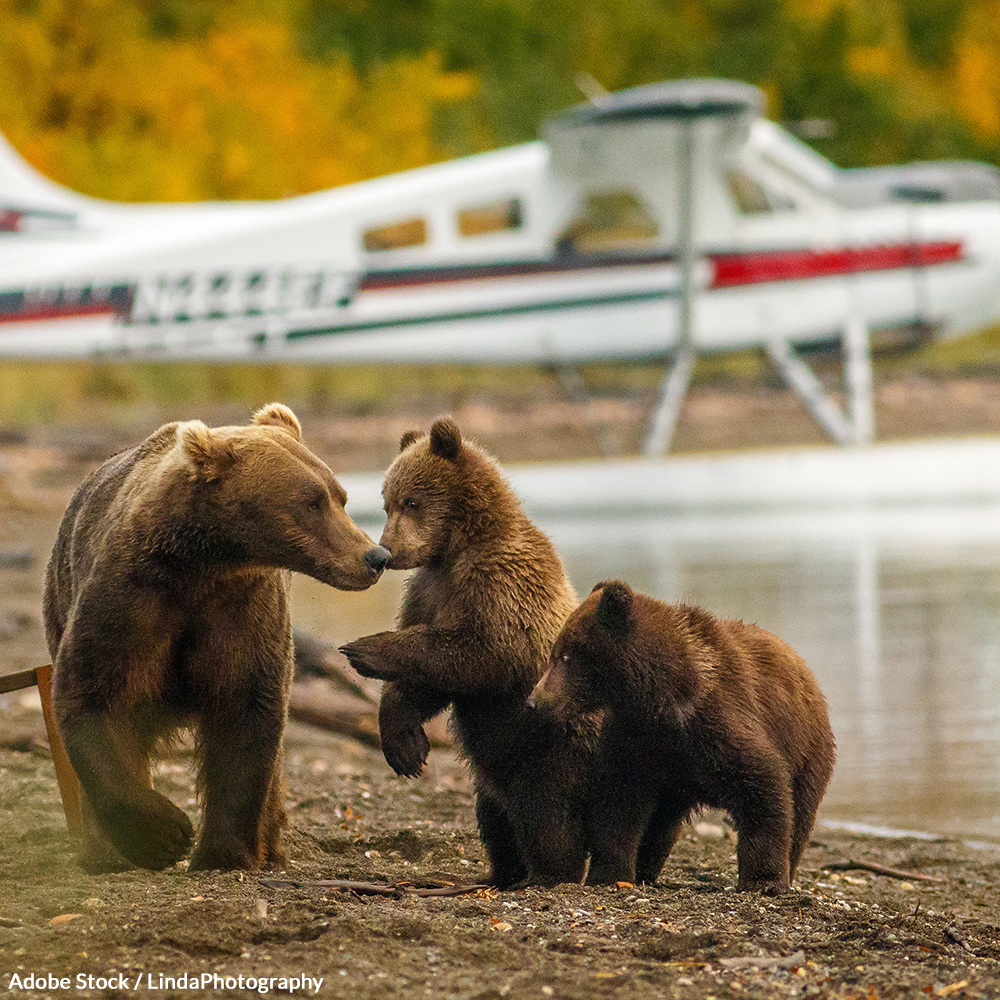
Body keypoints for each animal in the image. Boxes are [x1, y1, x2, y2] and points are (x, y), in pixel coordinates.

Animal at [44, 402, 386, 872]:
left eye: (340, 496)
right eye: (312, 501)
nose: (376, 556)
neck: (204, 564)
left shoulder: (242, 610)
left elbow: (245, 711)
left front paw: (223, 853)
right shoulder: (129, 599)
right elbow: (92, 695)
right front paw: (163, 833)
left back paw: (271, 848)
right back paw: (103, 852)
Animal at [532, 580, 836, 892]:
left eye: (564, 656)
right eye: (555, 653)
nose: (534, 700)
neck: (660, 698)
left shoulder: (717, 721)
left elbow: (762, 783)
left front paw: (763, 880)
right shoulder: (638, 739)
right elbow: (618, 804)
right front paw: (609, 873)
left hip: (809, 751)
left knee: (801, 811)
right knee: (662, 822)